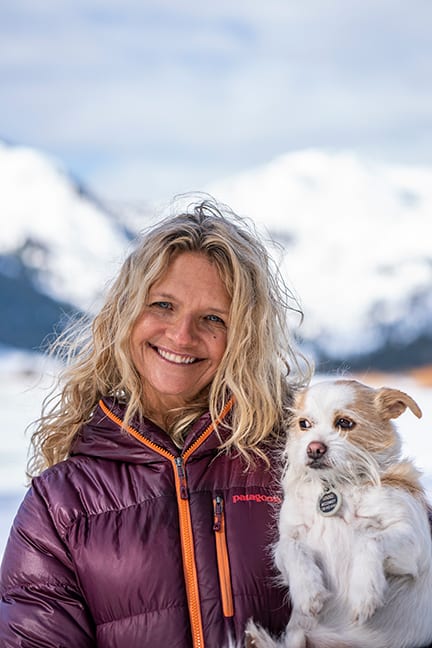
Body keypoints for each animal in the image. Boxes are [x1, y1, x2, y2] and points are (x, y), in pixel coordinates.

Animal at [246, 380, 432, 648]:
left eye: (344, 423)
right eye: (304, 424)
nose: (314, 448)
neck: (338, 485)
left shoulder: (414, 542)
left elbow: (370, 540)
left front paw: (364, 593)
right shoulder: (289, 538)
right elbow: (291, 548)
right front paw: (308, 591)